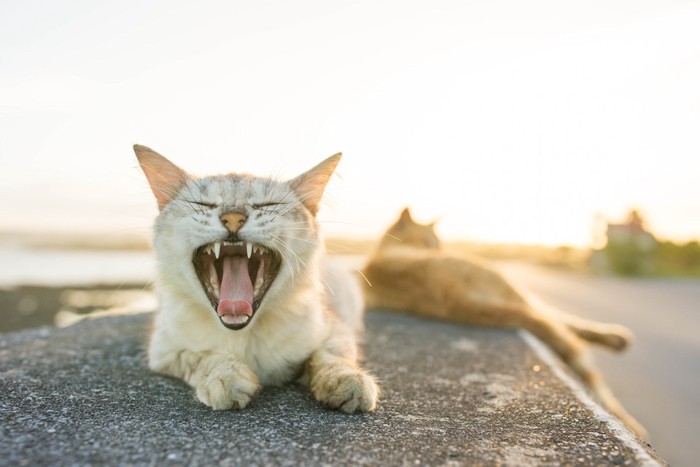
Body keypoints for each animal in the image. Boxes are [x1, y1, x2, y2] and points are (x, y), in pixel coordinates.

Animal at [135, 145, 380, 414]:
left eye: (268, 204)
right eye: (203, 204)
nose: (233, 218)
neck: (243, 333)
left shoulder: (337, 331)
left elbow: (329, 356)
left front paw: (347, 380)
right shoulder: (164, 351)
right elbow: (202, 357)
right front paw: (226, 378)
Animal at [364, 207, 648, 438]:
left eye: (437, 243)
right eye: (428, 242)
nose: (437, 249)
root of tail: (452, 294)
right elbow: (565, 320)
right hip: (511, 286)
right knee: (560, 327)